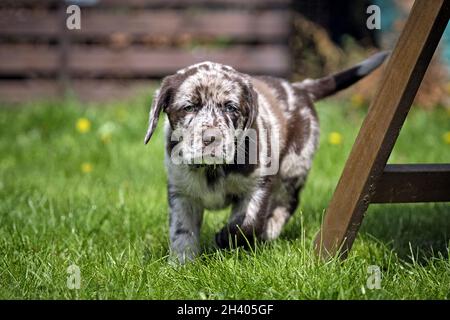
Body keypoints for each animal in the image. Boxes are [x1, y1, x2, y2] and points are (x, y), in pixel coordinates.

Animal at [144, 52, 386, 262]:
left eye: (230, 107)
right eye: (189, 107)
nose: (211, 138)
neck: (212, 169)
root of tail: (299, 88)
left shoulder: (259, 184)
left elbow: (247, 223)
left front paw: (225, 238)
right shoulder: (181, 192)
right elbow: (182, 231)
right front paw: (182, 264)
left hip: (293, 166)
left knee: (287, 203)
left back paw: (268, 231)